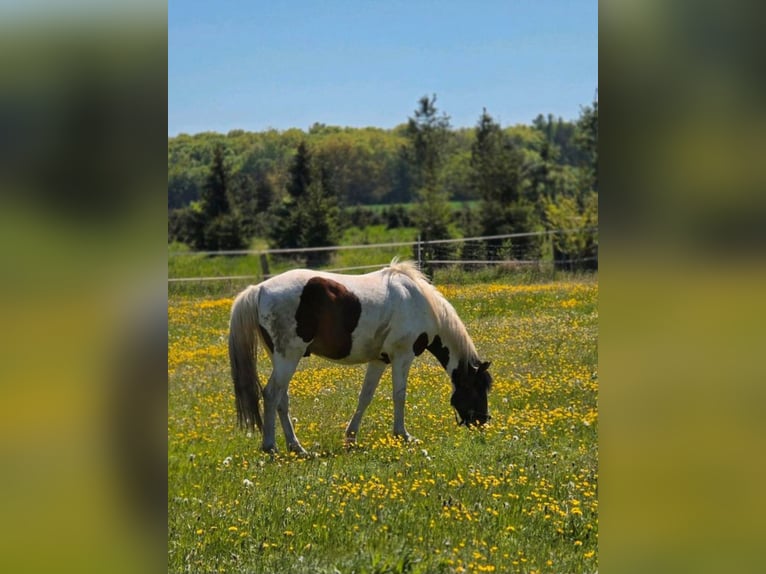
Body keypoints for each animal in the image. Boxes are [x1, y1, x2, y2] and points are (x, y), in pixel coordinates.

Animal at [228, 259, 492, 453]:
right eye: (477, 389)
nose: (482, 422)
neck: (419, 302)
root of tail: (259, 289)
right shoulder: (402, 356)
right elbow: (399, 396)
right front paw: (403, 435)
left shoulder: (379, 360)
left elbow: (365, 397)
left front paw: (351, 438)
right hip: (288, 357)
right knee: (272, 394)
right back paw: (270, 446)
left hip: (282, 359)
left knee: (282, 398)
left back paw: (296, 447)